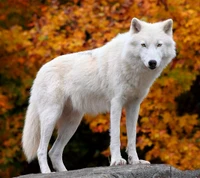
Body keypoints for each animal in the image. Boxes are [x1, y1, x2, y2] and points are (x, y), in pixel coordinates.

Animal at [21, 17, 175, 172]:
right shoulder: (116, 103)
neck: (129, 63)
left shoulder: (134, 106)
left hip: (72, 123)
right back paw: (46, 172)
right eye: (143, 45)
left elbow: (132, 137)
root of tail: (40, 71)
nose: (152, 62)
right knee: (41, 150)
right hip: (51, 117)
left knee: (54, 152)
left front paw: (135, 161)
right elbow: (116, 136)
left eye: (159, 45)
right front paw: (117, 161)